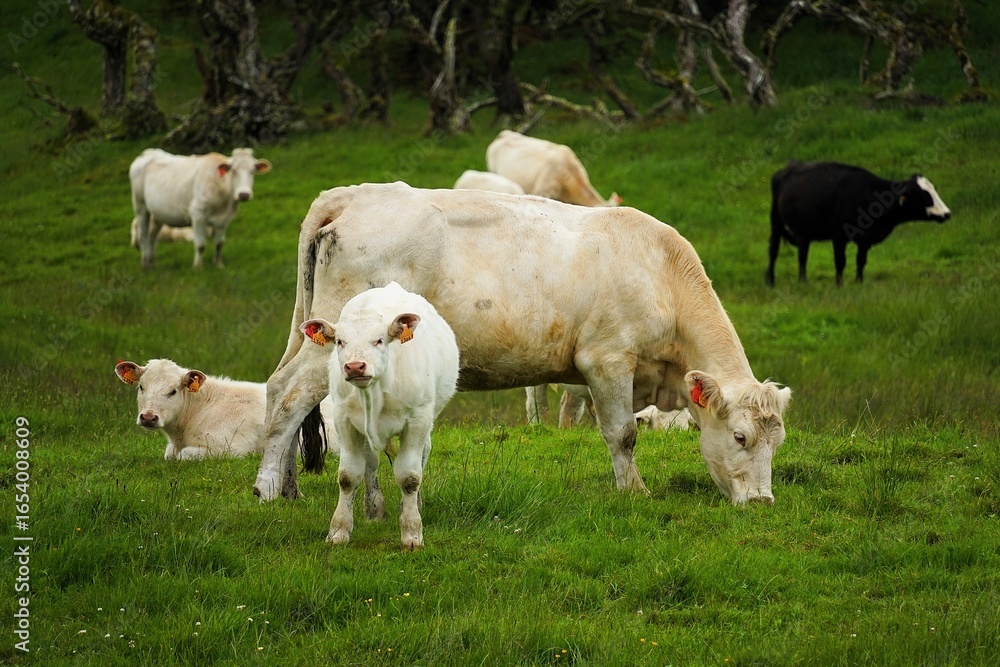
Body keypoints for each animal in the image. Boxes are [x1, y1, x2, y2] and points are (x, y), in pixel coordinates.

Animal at [115, 358, 337, 466]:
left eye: (173, 391)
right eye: (141, 387)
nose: (148, 417)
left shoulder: (232, 448)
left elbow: (184, 455)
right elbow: (170, 455)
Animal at [128, 147, 272, 270]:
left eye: (252, 171)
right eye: (233, 171)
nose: (244, 194)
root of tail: (148, 152)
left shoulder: (225, 219)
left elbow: (219, 243)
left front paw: (218, 264)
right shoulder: (198, 214)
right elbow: (201, 244)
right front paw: (197, 267)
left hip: (158, 212)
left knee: (152, 236)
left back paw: (151, 262)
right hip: (140, 205)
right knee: (143, 235)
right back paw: (145, 265)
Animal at [252, 182, 791, 506]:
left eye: (777, 441)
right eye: (740, 437)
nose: (763, 502)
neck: (658, 272)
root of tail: (355, 194)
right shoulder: (607, 360)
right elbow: (622, 434)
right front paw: (633, 491)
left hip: (309, 333)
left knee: (282, 389)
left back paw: (290, 488)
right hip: (340, 342)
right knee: (289, 395)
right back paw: (267, 487)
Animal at [298, 281, 459, 550]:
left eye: (379, 340)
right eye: (340, 341)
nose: (355, 366)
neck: (375, 393)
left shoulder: (417, 421)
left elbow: (410, 477)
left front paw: (412, 533)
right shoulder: (345, 422)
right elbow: (348, 476)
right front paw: (339, 531)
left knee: (421, 457)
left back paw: (414, 504)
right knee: (370, 463)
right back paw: (374, 509)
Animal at [766, 161, 951, 286]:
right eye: (924, 195)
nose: (947, 213)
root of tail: (787, 168)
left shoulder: (865, 239)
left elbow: (861, 261)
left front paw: (858, 283)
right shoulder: (839, 236)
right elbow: (840, 262)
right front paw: (839, 285)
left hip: (804, 230)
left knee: (802, 254)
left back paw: (803, 281)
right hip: (776, 220)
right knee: (773, 249)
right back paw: (770, 281)